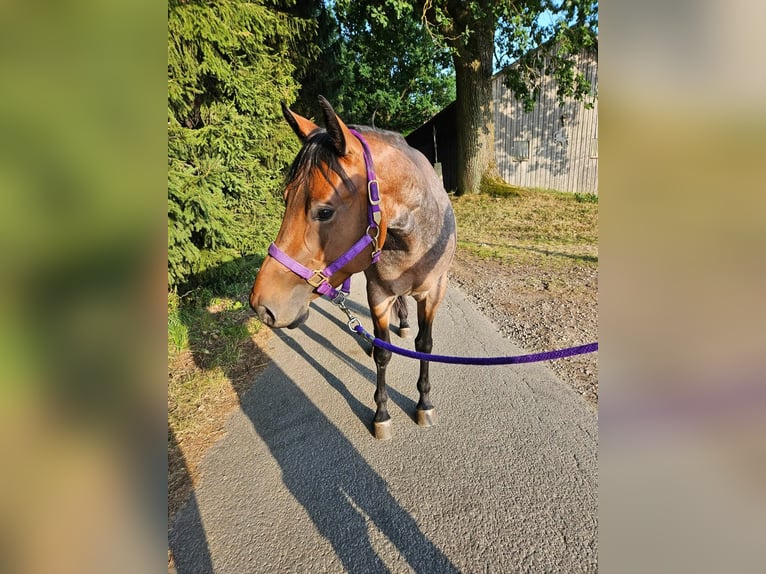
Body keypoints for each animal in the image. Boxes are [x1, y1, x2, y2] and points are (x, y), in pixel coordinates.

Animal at [250, 96, 457, 440]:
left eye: (324, 212)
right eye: (286, 198)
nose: (261, 305)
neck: (412, 237)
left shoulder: (434, 292)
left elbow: (424, 346)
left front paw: (424, 404)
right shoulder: (377, 293)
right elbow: (383, 352)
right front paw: (382, 414)